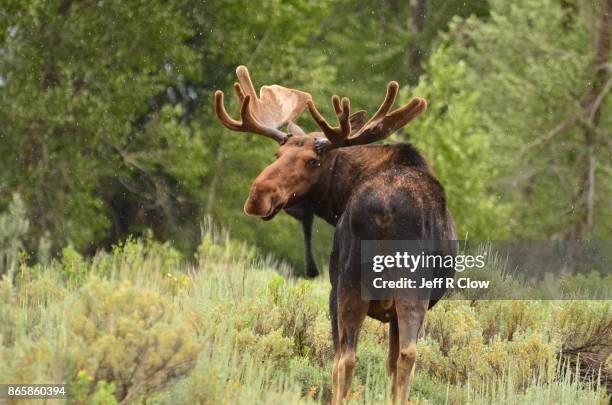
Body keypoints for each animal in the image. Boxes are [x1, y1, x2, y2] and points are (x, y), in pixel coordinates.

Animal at [214, 64, 454, 402]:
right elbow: (390, 363)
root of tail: (385, 210)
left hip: (352, 285)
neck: (340, 198)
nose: (258, 195)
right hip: (388, 288)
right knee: (388, 356)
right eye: (277, 155)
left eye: (313, 161)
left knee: (353, 358)